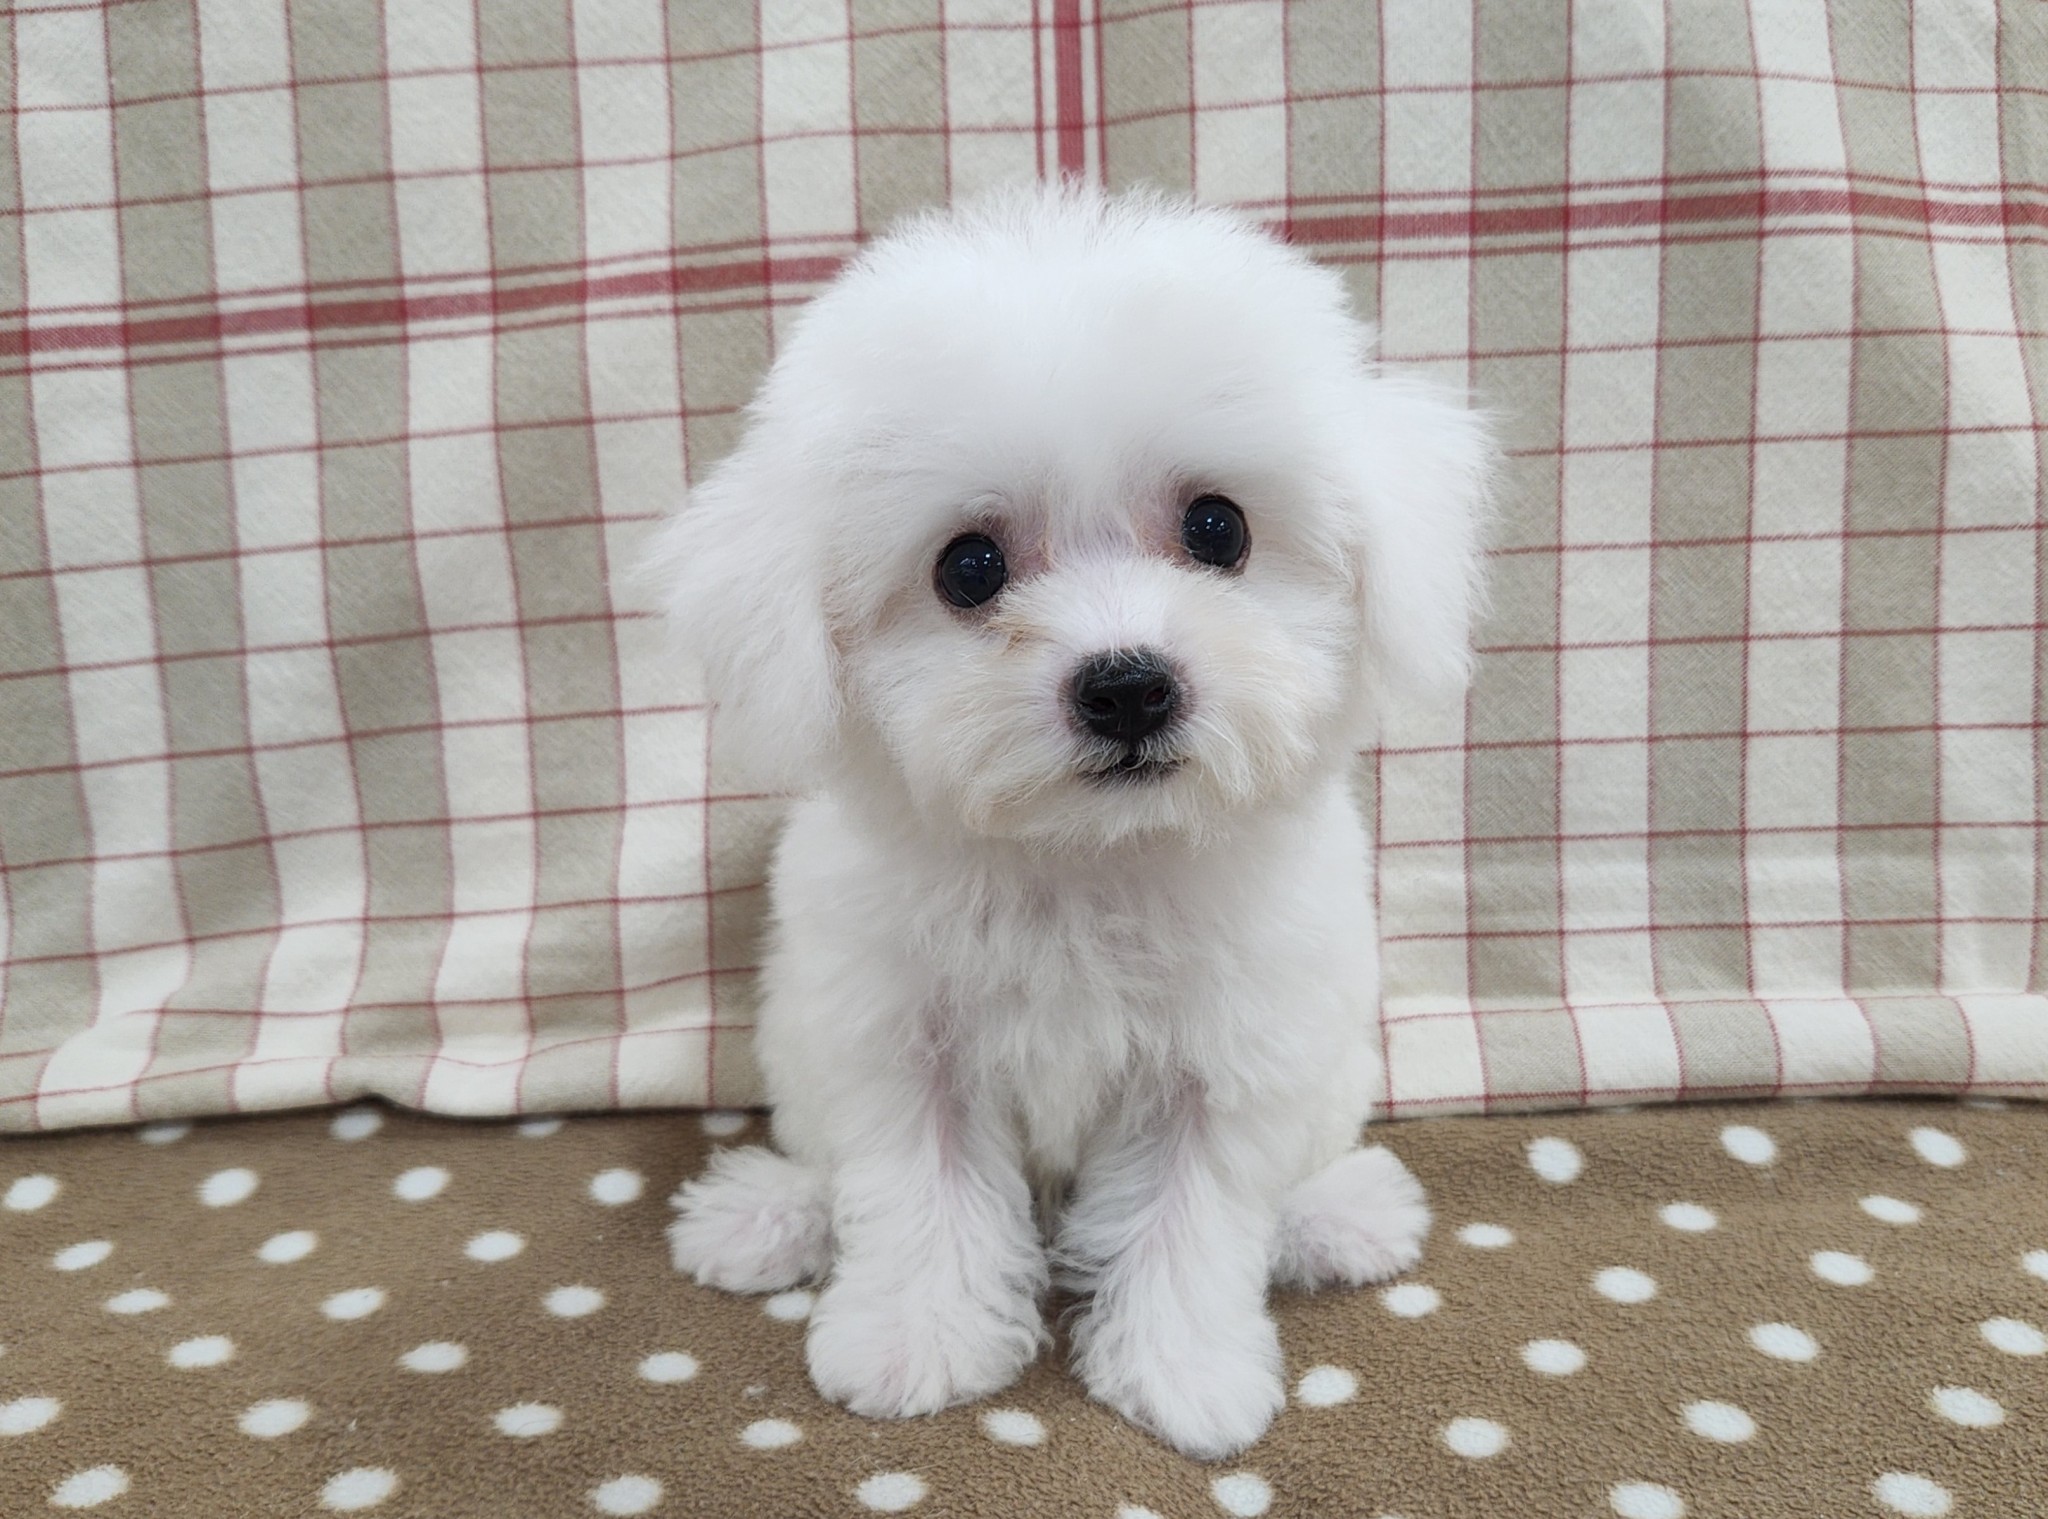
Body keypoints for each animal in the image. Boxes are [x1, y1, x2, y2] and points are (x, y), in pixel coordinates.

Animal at [649, 184, 1491, 1459]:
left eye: (1217, 529)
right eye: (968, 566)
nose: (1128, 685)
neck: (1081, 861)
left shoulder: (1226, 1060)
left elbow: (1189, 1215)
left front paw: (1186, 1375)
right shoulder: (898, 1041)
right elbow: (920, 1191)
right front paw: (912, 1341)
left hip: (1333, 1065)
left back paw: (1339, 1213)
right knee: (826, 1161)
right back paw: (766, 1215)